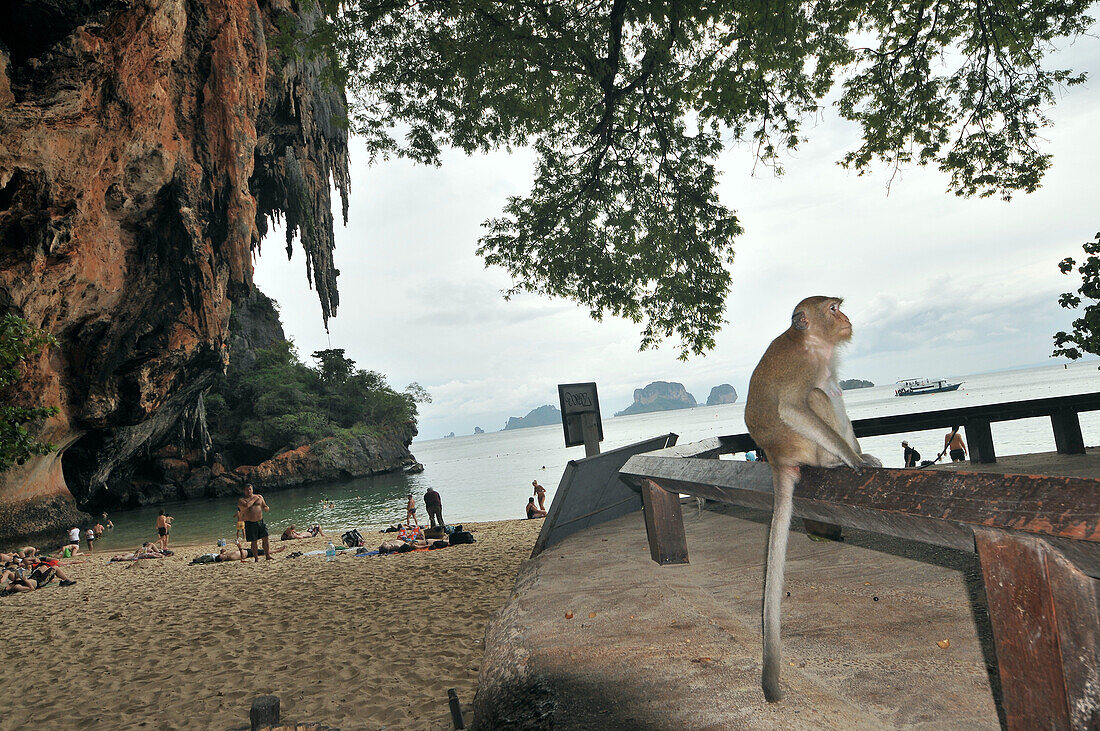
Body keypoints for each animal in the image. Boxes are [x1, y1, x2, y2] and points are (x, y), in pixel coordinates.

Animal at [743, 296, 880, 703]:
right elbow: (792, 405)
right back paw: (834, 460)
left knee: (831, 391)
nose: (846, 317)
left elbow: (835, 390)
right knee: (818, 394)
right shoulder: (802, 367)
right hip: (804, 444)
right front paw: (852, 459)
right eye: (833, 308)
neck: (813, 344)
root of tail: (777, 458)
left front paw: (860, 454)